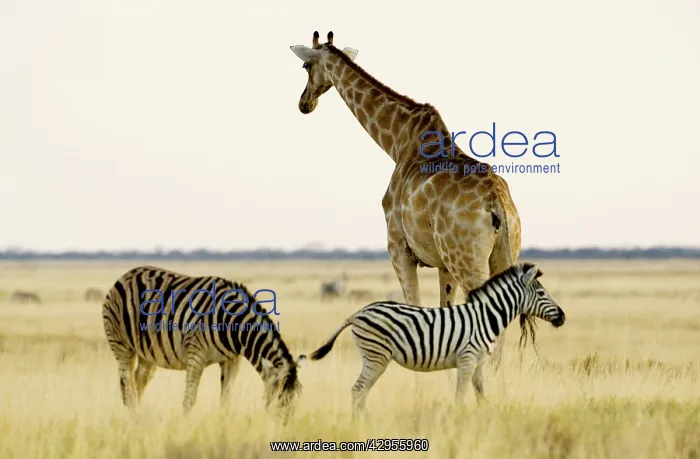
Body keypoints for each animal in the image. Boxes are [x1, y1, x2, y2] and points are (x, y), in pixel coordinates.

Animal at [102, 265, 303, 418]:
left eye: (298, 397)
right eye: (280, 399)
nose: (286, 427)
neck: (232, 324)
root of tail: (126, 275)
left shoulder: (232, 360)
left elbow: (226, 399)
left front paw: (224, 424)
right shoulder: (196, 355)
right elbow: (189, 400)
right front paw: (186, 427)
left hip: (147, 354)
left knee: (138, 383)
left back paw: (139, 417)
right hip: (121, 344)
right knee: (127, 385)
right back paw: (133, 418)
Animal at [289, 31, 538, 368]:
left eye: (305, 65)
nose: (305, 103)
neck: (396, 142)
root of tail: (497, 202)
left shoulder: (398, 248)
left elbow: (414, 310)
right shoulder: (444, 265)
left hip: (469, 261)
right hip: (502, 253)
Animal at [301, 262, 565, 415]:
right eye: (541, 292)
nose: (562, 317)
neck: (485, 317)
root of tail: (357, 313)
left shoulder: (478, 361)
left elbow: (480, 391)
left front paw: (483, 415)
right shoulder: (467, 359)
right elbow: (460, 395)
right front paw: (458, 421)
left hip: (372, 357)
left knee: (360, 391)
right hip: (377, 356)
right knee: (358, 389)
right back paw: (362, 424)